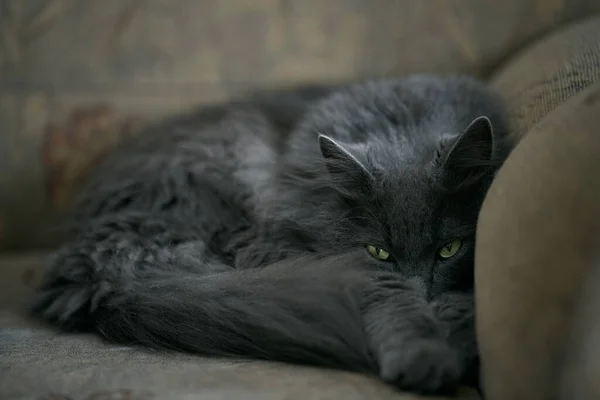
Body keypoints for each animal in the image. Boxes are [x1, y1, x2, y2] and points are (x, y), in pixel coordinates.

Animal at [30, 76, 510, 396]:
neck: (400, 125)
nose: (425, 295)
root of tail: (97, 267)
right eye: (379, 252)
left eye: (449, 250)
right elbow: (392, 298)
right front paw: (425, 358)